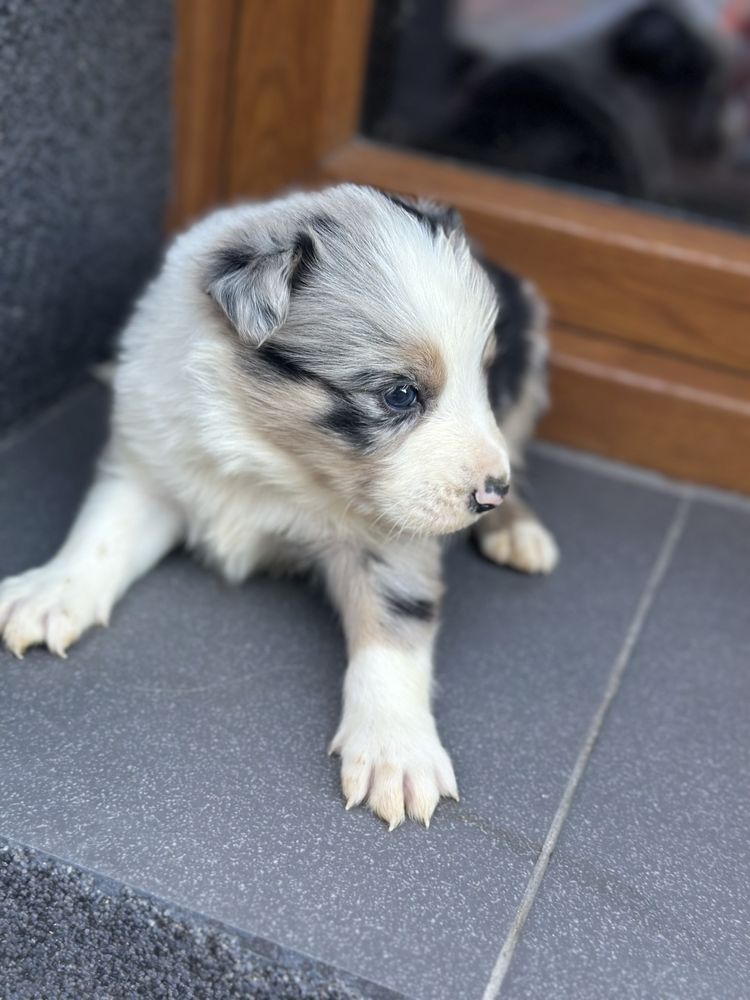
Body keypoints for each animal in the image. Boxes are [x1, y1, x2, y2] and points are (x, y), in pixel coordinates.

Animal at [0, 186, 560, 828]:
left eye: (482, 377)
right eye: (400, 395)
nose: (490, 491)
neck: (271, 454)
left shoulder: (393, 534)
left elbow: (393, 630)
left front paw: (395, 750)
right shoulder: (150, 462)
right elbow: (102, 535)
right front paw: (51, 593)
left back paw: (518, 531)